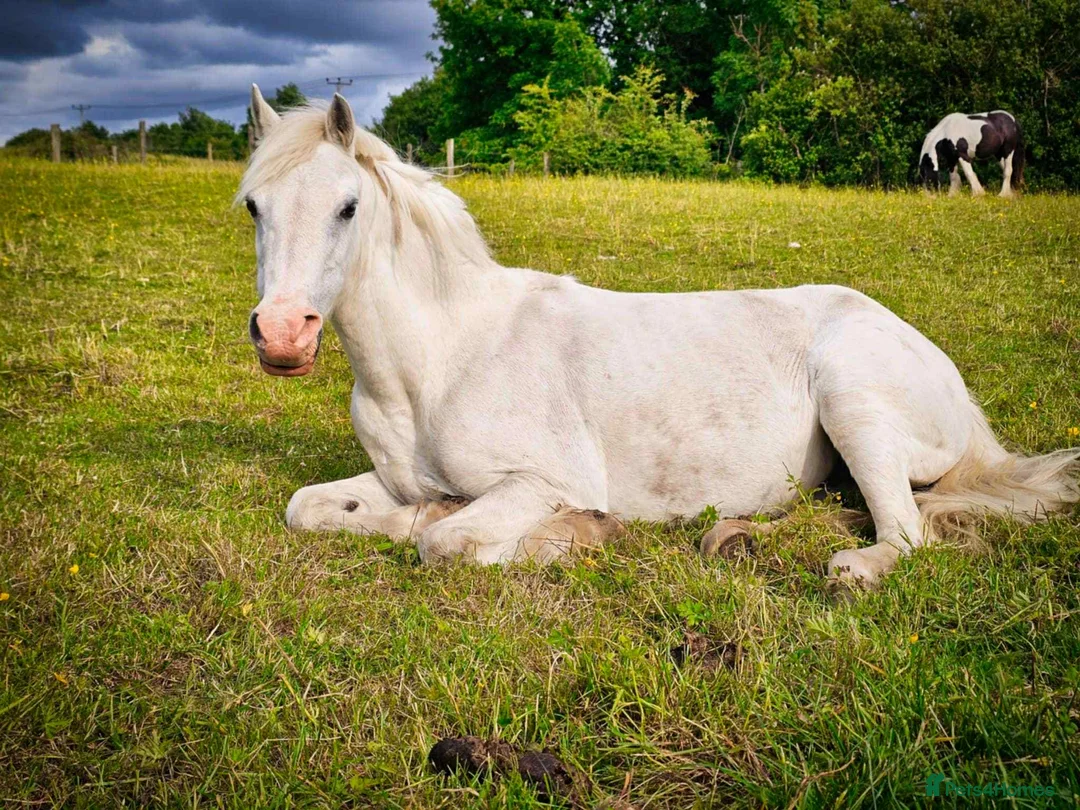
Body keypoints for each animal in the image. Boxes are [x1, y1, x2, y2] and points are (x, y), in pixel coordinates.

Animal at [240, 86, 1078, 589]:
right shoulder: (397, 479)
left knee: (901, 535)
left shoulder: (541, 482)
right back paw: (738, 538)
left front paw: (561, 537)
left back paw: (842, 562)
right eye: (253, 205)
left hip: (854, 402)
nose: (282, 336)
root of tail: (947, 378)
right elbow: (308, 507)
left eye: (348, 207)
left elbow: (442, 542)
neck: (441, 360)